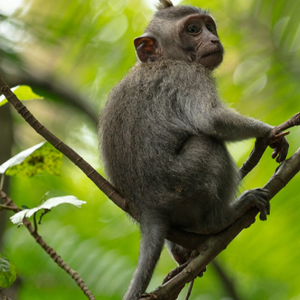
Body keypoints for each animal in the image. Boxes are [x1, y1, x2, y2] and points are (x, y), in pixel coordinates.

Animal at [98, 1, 288, 298]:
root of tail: (147, 207)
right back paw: (221, 219)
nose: (214, 39)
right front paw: (268, 132)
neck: (162, 60)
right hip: (183, 186)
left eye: (209, 26)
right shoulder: (188, 76)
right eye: (193, 30)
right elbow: (211, 119)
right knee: (208, 144)